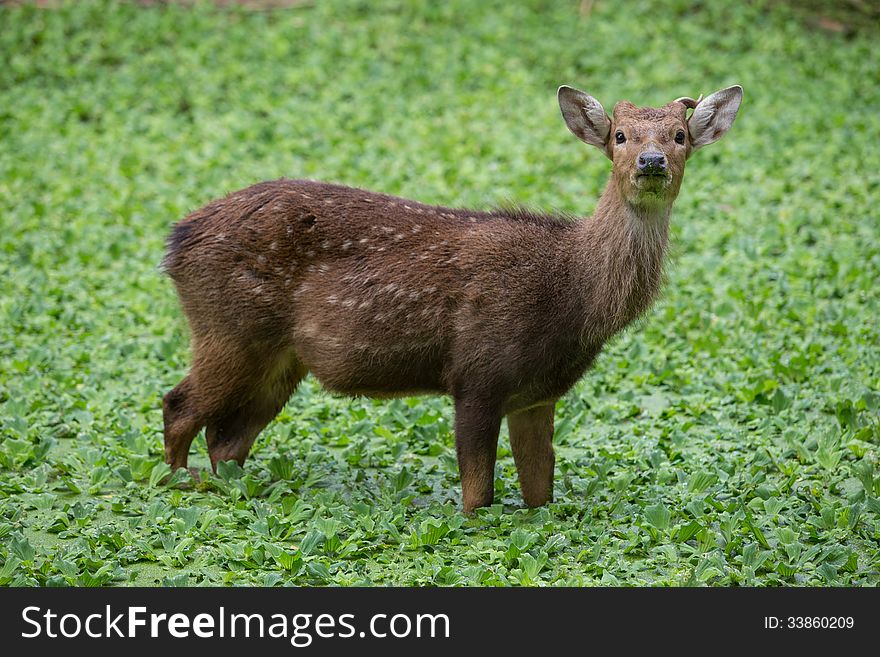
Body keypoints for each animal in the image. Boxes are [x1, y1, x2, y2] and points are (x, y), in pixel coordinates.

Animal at [160, 82, 744, 512]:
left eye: (679, 135)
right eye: (620, 136)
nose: (652, 161)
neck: (571, 294)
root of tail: (177, 240)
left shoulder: (537, 393)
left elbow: (541, 493)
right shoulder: (476, 372)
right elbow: (477, 498)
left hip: (279, 358)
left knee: (226, 438)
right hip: (228, 329)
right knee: (178, 406)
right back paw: (177, 485)